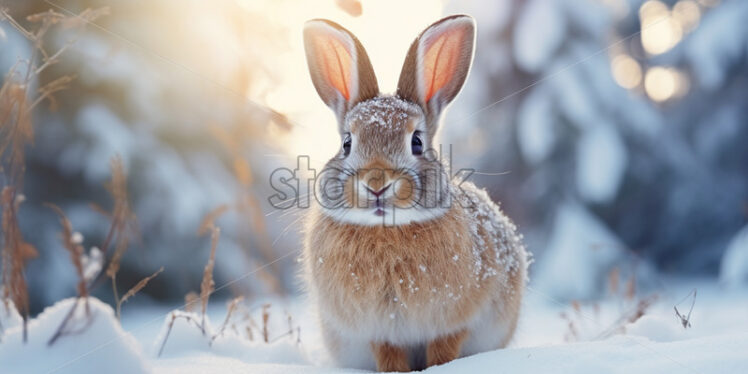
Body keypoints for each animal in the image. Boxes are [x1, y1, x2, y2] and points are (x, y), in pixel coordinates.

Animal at [300, 13, 528, 372]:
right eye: (347, 143)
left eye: (417, 142)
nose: (377, 183)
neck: (386, 230)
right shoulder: (380, 332)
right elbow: (389, 356)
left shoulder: (452, 323)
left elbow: (444, 350)